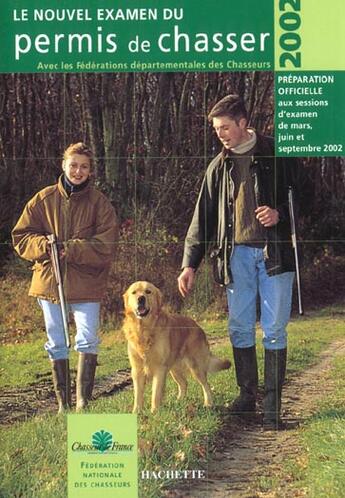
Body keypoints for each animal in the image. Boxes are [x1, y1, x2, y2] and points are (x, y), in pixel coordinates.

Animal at [122, 280, 230, 412]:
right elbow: (138, 395)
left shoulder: (160, 368)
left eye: (148, 291)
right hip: (174, 369)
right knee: (184, 383)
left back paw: (208, 403)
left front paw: (154, 412)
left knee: (206, 385)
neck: (144, 330)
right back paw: (179, 401)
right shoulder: (137, 370)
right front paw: (137, 412)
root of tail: (197, 325)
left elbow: (155, 394)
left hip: (196, 366)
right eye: (134, 292)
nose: (141, 298)